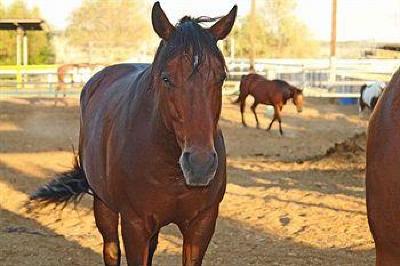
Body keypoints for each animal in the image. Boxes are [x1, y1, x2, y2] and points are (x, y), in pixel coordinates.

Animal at [28, 2, 238, 266]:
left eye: (220, 78)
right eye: (166, 78)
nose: (200, 165)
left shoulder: (201, 226)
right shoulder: (135, 226)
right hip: (103, 205)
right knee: (111, 249)